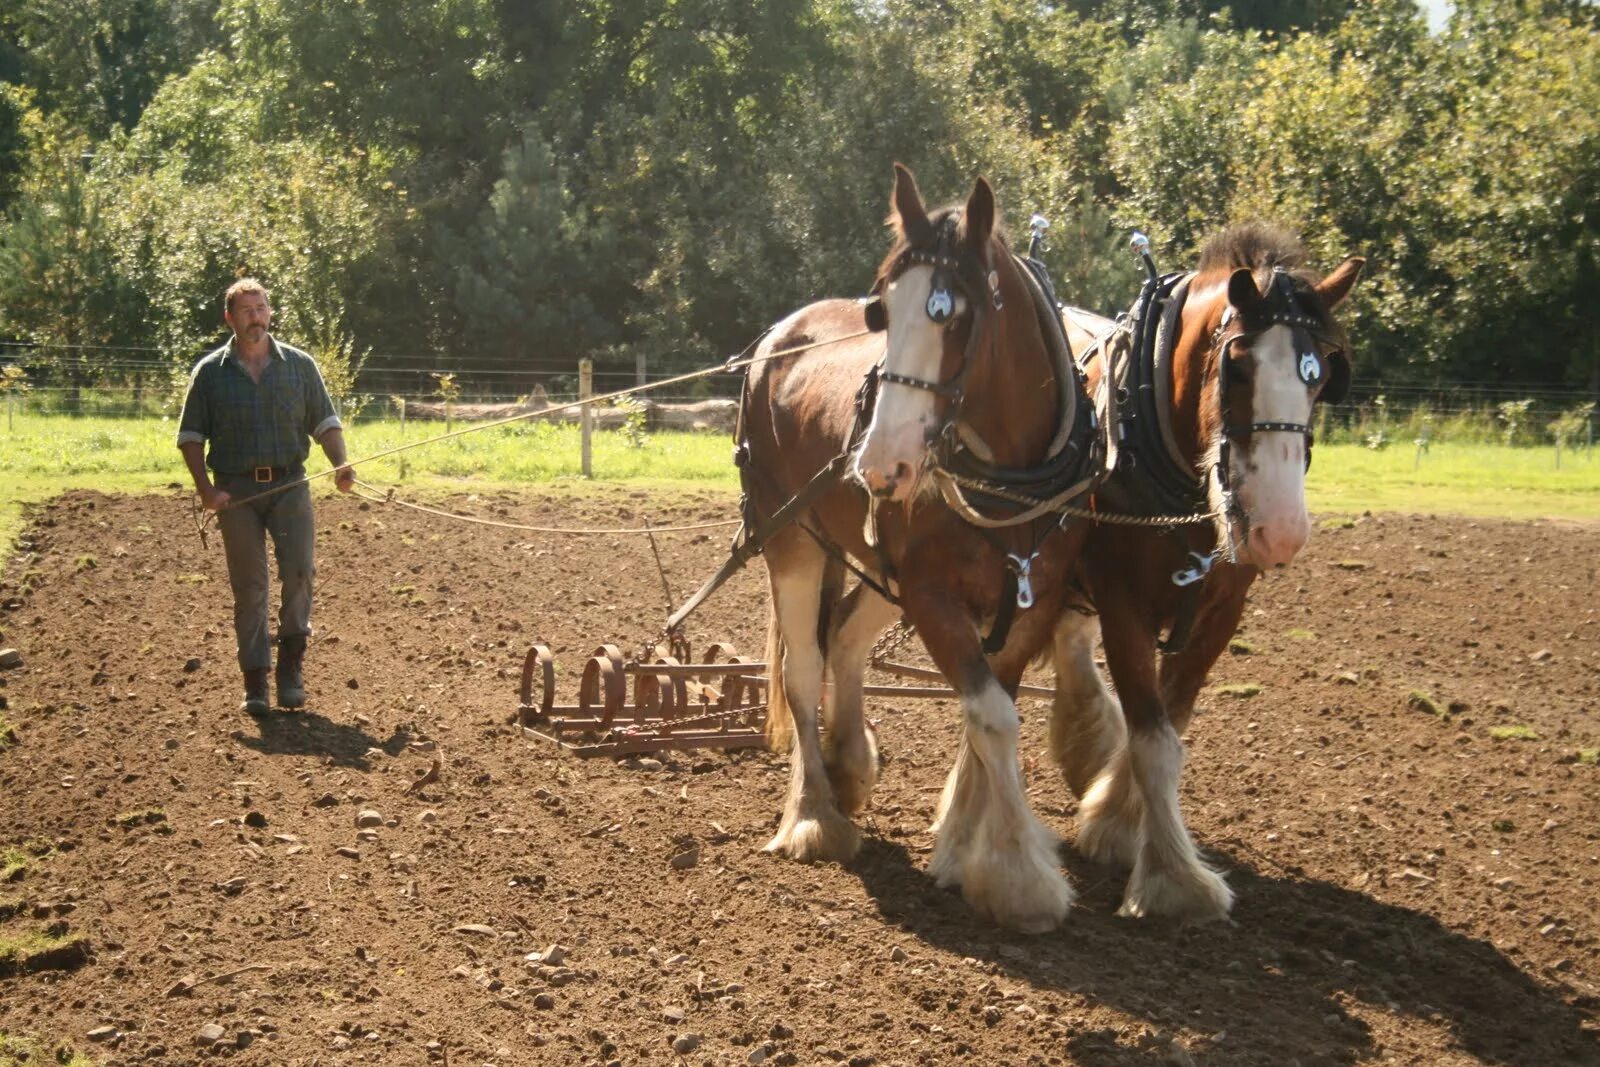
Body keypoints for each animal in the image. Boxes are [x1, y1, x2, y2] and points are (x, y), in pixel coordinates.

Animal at [739, 163, 1100, 927]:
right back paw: (814, 812)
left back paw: (848, 766)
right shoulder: (932, 596)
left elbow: (993, 713)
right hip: (791, 538)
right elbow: (991, 717)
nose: (880, 463)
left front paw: (966, 846)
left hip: (878, 566)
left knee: (844, 636)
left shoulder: (1034, 598)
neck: (1007, 477)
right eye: (883, 311)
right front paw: (1021, 876)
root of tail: (776, 337)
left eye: (952, 314)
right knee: (803, 665)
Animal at [1049, 223, 1363, 921]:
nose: (1281, 531)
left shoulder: (1220, 613)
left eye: (1322, 375)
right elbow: (1154, 739)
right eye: (1238, 365)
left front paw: (1115, 818)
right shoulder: (1124, 606)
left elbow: (1173, 721)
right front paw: (1173, 880)